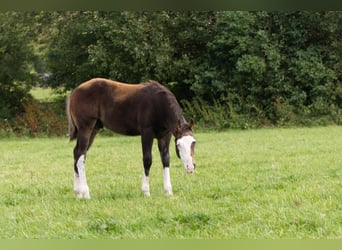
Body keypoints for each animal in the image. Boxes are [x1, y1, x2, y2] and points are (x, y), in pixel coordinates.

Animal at [66, 77, 196, 198]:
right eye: (179, 145)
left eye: (194, 142)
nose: (190, 167)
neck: (159, 104)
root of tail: (75, 91)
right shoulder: (147, 133)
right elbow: (147, 160)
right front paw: (146, 191)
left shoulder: (165, 135)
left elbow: (166, 159)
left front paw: (168, 191)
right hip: (85, 128)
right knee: (81, 157)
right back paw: (85, 193)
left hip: (94, 129)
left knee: (77, 153)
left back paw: (78, 193)